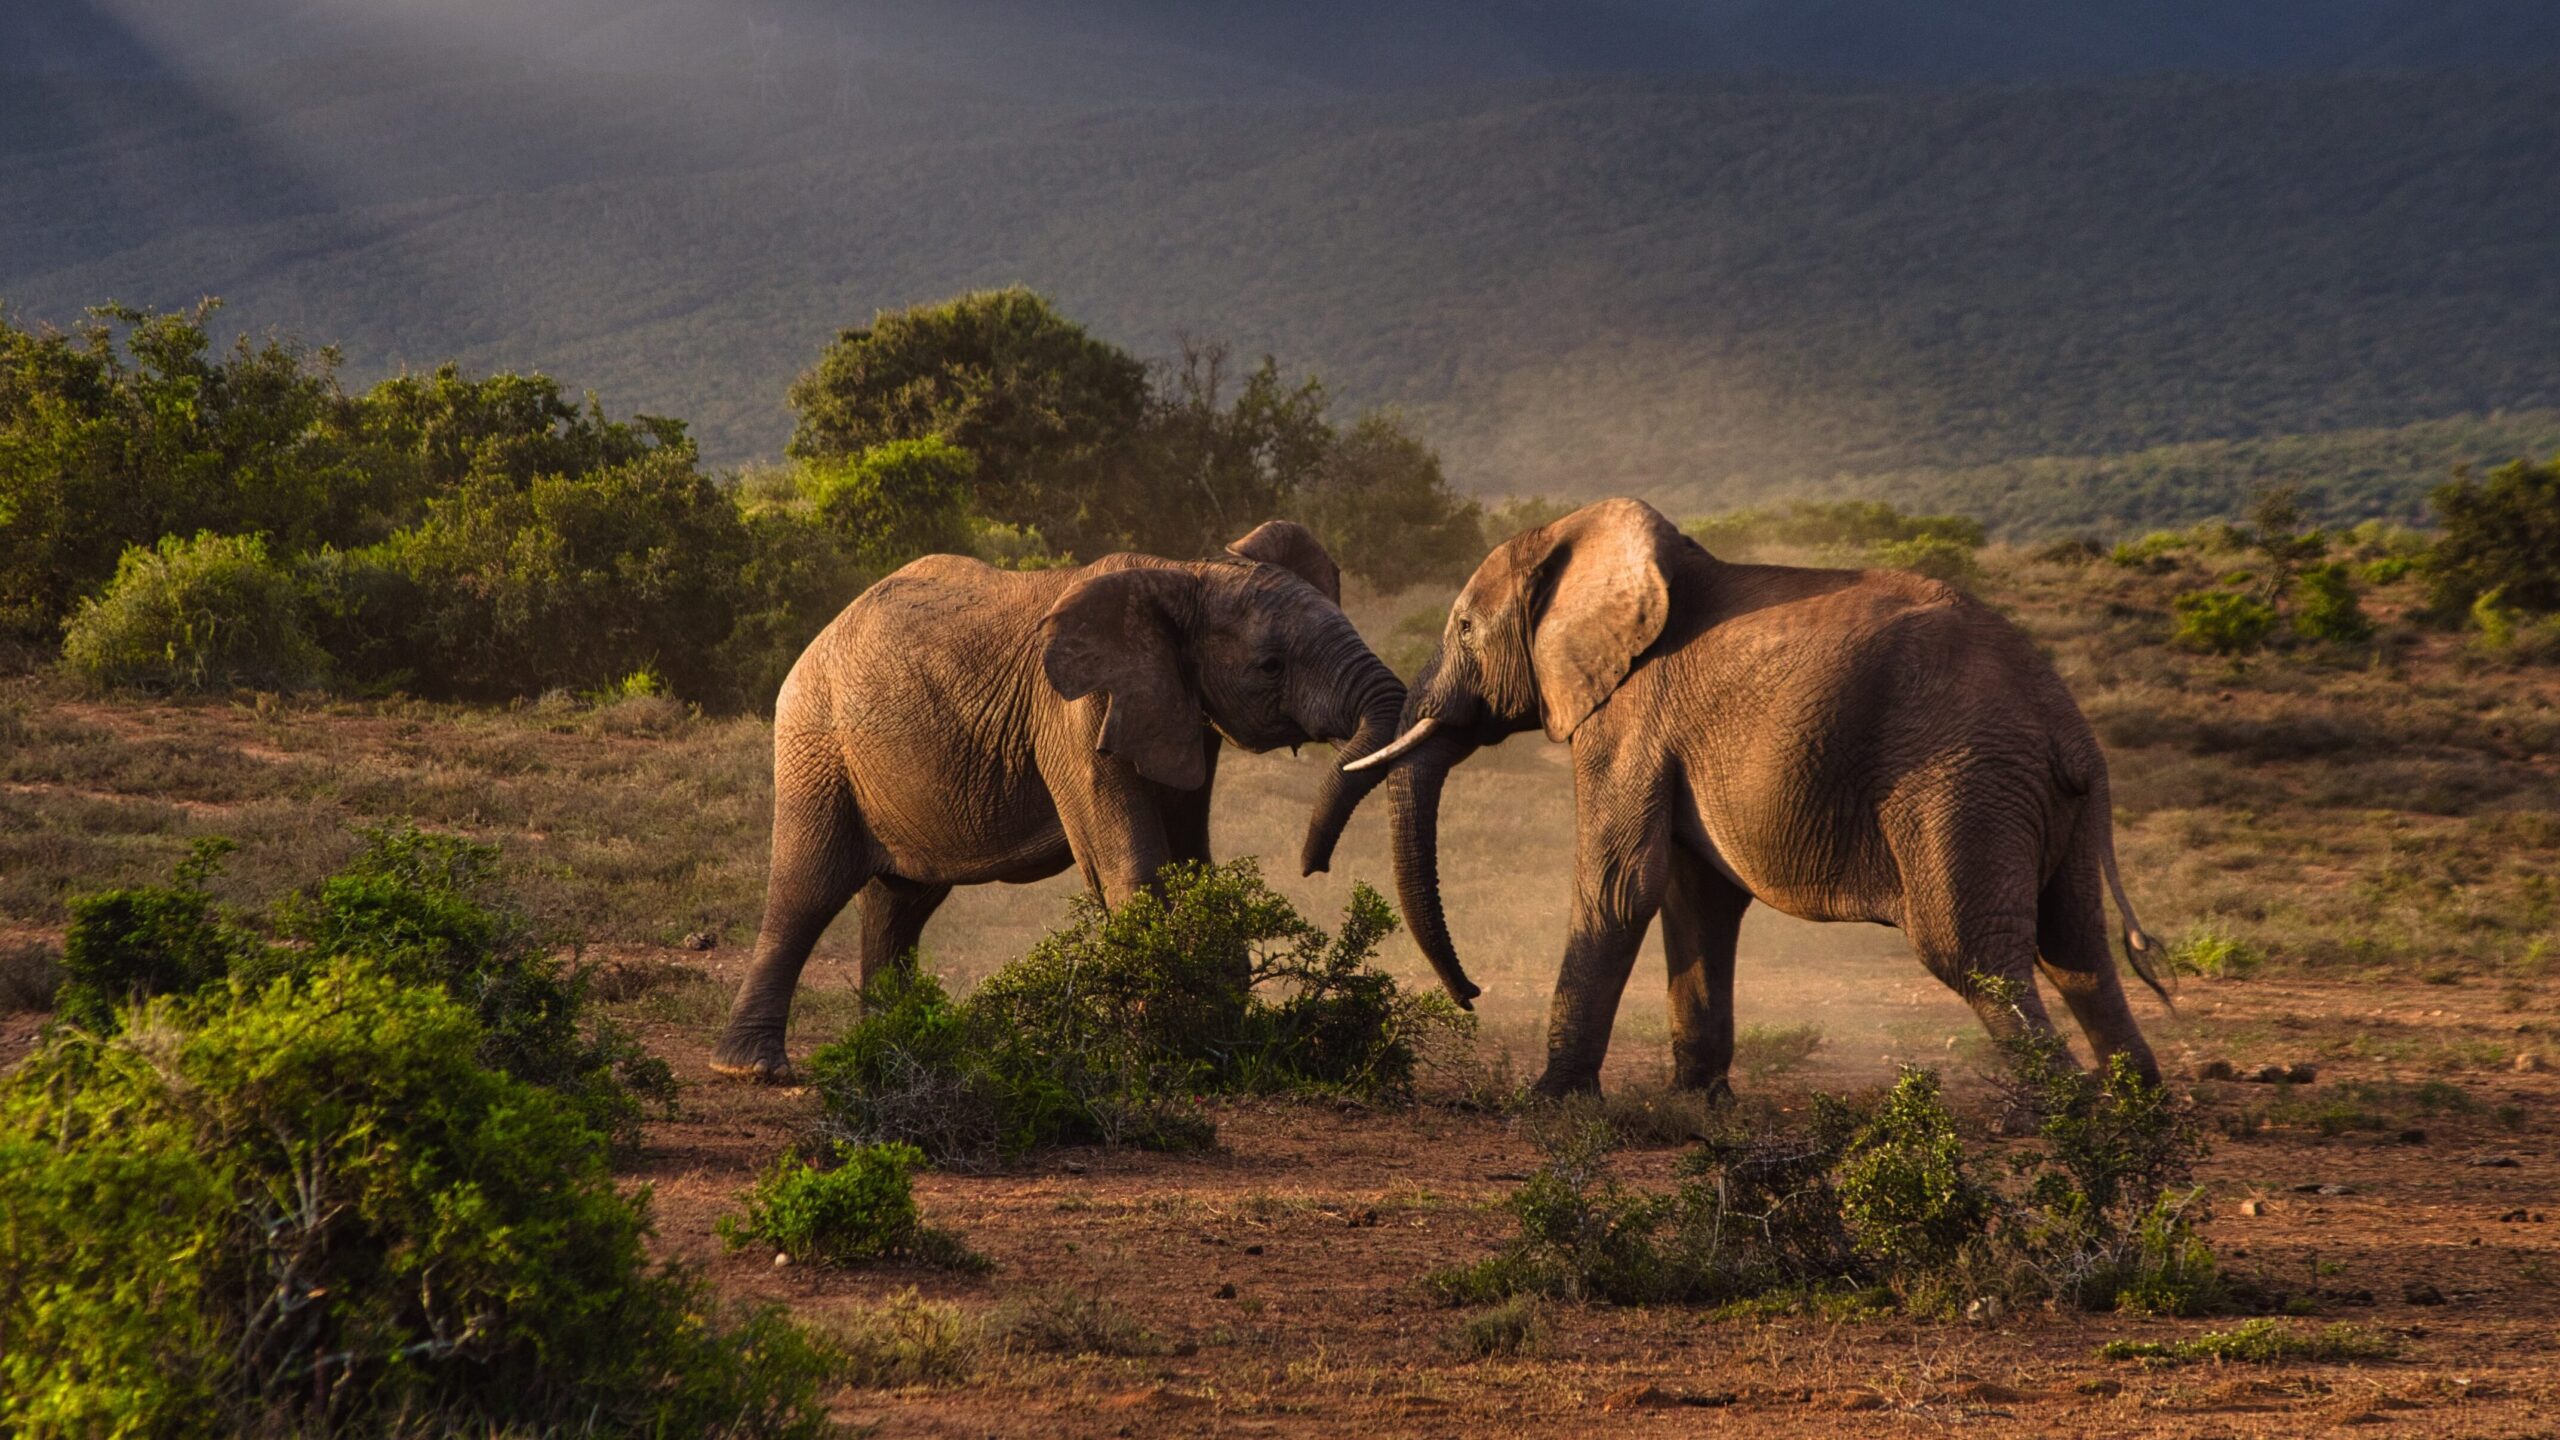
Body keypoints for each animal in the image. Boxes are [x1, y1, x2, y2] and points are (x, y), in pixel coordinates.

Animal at [711, 520, 1407, 1080]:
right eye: (1269, 666)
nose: (1312, 865)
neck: (1186, 571)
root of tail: (823, 633)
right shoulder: (1075, 715)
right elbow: (1131, 867)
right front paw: (1159, 1056)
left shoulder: (1178, 713)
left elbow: (1192, 863)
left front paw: (1218, 1043)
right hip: (815, 742)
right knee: (808, 889)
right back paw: (752, 1070)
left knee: (900, 904)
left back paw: (890, 1053)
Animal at [1360, 497, 2171, 1098]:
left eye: (1466, 628)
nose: (1473, 994)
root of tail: (2070, 727)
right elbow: (1695, 896)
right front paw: (1696, 1106)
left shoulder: (1632, 715)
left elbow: (1621, 886)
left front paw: (1551, 1103)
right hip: (2039, 801)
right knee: (2076, 948)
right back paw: (2135, 1113)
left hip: (1963, 783)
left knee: (1972, 952)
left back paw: (2067, 1125)